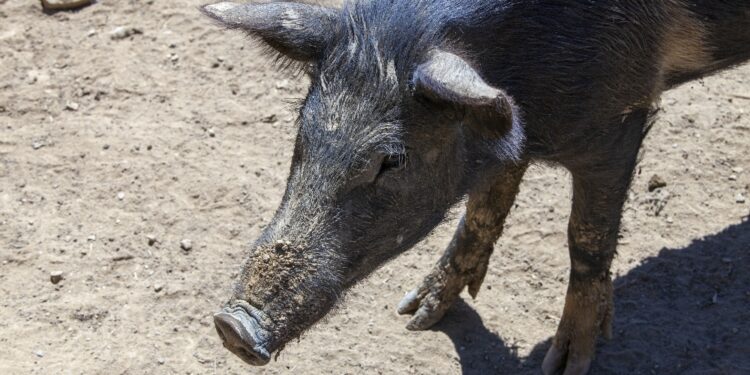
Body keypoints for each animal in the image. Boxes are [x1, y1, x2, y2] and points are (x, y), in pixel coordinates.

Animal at [200, 1, 750, 374]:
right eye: (302, 130)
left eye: (391, 160)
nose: (232, 326)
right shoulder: (504, 129)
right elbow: (484, 208)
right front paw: (415, 314)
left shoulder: (620, 121)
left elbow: (585, 238)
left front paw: (564, 364)